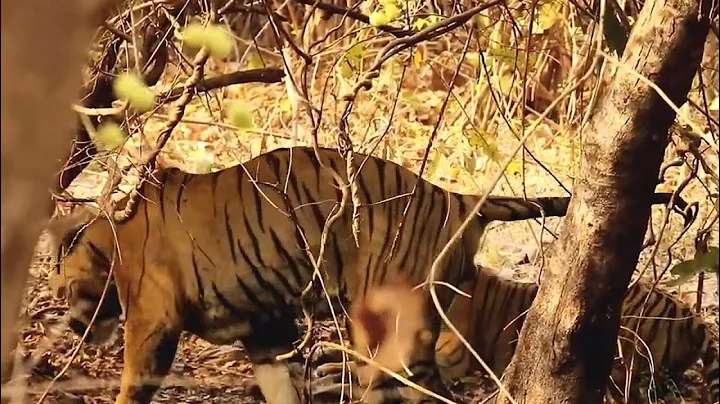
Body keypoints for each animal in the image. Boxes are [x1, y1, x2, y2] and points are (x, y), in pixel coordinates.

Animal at [45, 145, 688, 404]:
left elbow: (132, 384)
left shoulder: (152, 324)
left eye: (61, 286)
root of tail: (456, 197)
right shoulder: (266, 331)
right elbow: (281, 388)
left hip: (385, 324)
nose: (71, 327)